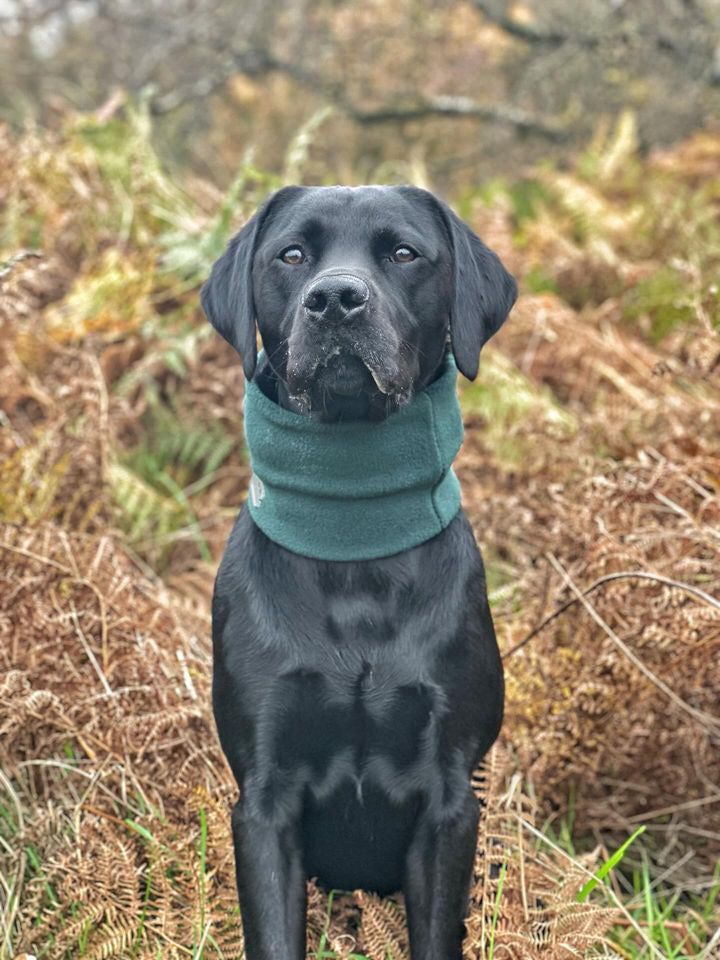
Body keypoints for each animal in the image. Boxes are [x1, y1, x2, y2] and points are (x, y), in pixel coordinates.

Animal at [202, 184, 516, 956]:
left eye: (403, 252)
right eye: (291, 255)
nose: (337, 300)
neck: (355, 551)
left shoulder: (448, 800)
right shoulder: (264, 800)